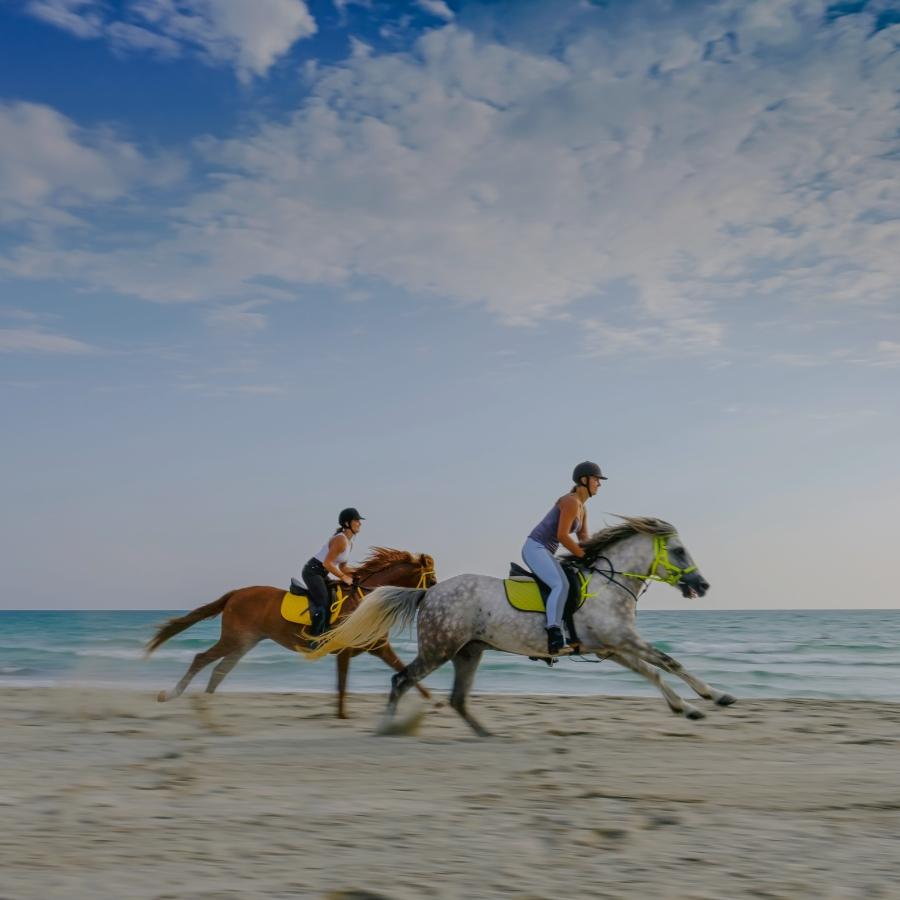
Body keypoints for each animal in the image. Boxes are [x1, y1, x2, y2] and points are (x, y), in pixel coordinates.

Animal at [145, 548, 436, 716]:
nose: (435, 595)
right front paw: (342, 716)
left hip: (243, 643)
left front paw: (432, 701)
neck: (365, 602)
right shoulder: (344, 650)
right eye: (432, 579)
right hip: (233, 639)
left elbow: (405, 669)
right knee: (202, 659)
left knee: (219, 669)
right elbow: (342, 685)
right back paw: (173, 695)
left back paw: (207, 704)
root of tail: (235, 594)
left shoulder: (378, 647)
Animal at [308, 516, 732, 736]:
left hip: (468, 652)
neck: (608, 583)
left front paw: (686, 707)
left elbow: (652, 672)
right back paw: (387, 728)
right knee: (402, 681)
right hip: (439, 649)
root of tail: (428, 593)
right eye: (679, 551)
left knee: (457, 698)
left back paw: (485, 734)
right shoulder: (624, 641)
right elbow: (668, 662)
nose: (703, 586)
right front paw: (713, 696)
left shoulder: (612, 647)